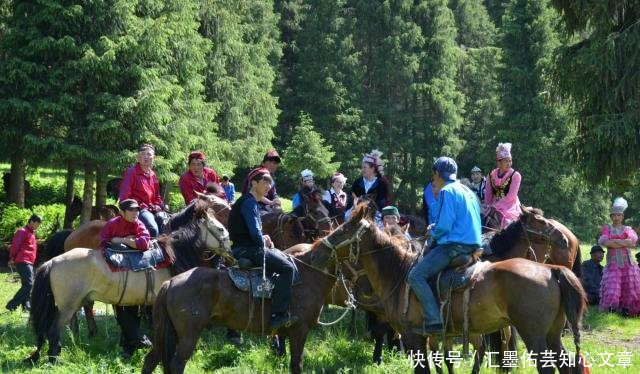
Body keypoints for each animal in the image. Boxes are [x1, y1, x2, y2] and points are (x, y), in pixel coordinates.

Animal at [28, 206, 232, 364]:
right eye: (220, 229)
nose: (230, 249)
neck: (173, 257)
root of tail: (52, 262)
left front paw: (133, 346)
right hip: (68, 306)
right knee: (54, 330)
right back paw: (55, 358)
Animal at [141, 248, 340, 374]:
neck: (309, 275)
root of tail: (170, 282)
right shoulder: (299, 331)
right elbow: (296, 364)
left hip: (167, 334)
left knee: (151, 360)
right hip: (188, 335)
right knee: (176, 364)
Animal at [308, 203, 584, 372]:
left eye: (344, 230)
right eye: (539, 221)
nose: (319, 245)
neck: (399, 273)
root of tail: (552, 270)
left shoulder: (414, 337)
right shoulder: (441, 335)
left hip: (534, 335)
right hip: (551, 335)